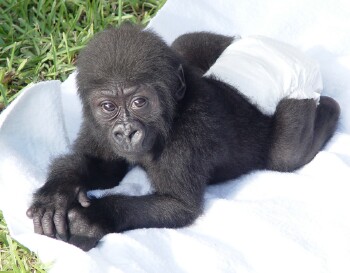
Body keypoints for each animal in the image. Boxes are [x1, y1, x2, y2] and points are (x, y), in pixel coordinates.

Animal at [26, 24, 340, 250]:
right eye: (108, 107)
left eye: (140, 102)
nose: (127, 132)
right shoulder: (98, 128)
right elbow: (103, 168)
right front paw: (58, 191)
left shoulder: (188, 139)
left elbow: (178, 206)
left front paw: (93, 217)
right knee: (185, 43)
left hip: (296, 78)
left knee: (285, 154)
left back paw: (329, 109)